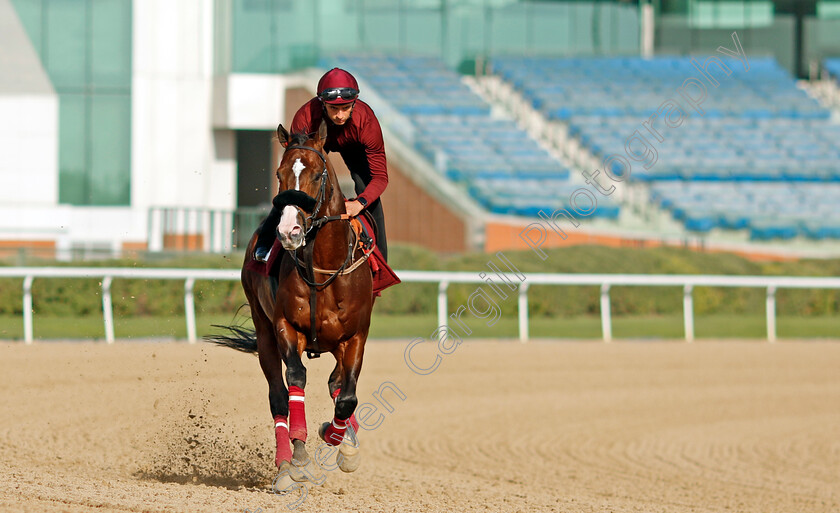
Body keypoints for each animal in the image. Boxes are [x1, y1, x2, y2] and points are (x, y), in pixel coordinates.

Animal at [209, 121, 370, 484]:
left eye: (316, 174)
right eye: (280, 174)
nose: (289, 231)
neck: (323, 266)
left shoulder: (355, 335)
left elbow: (347, 396)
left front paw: (339, 439)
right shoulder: (287, 327)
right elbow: (295, 380)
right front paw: (299, 457)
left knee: (336, 384)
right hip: (264, 330)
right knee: (278, 397)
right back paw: (284, 466)